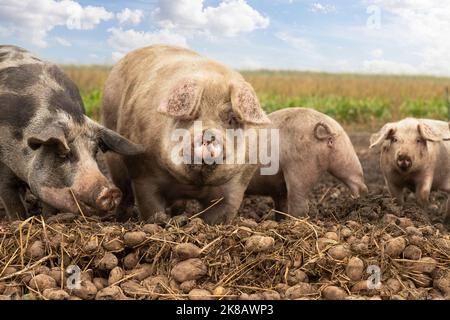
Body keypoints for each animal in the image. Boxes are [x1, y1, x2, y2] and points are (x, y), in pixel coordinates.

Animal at [0, 45, 143, 220]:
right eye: (62, 154)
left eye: (95, 152)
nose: (111, 191)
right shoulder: (4, 168)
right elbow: (12, 201)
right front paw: (18, 220)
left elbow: (49, 205)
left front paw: (48, 218)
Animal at [103, 45, 270, 225]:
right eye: (191, 116)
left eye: (232, 119)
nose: (208, 134)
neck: (194, 184)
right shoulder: (143, 173)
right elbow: (151, 208)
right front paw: (160, 222)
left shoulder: (237, 183)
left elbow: (220, 213)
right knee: (124, 189)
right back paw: (122, 218)